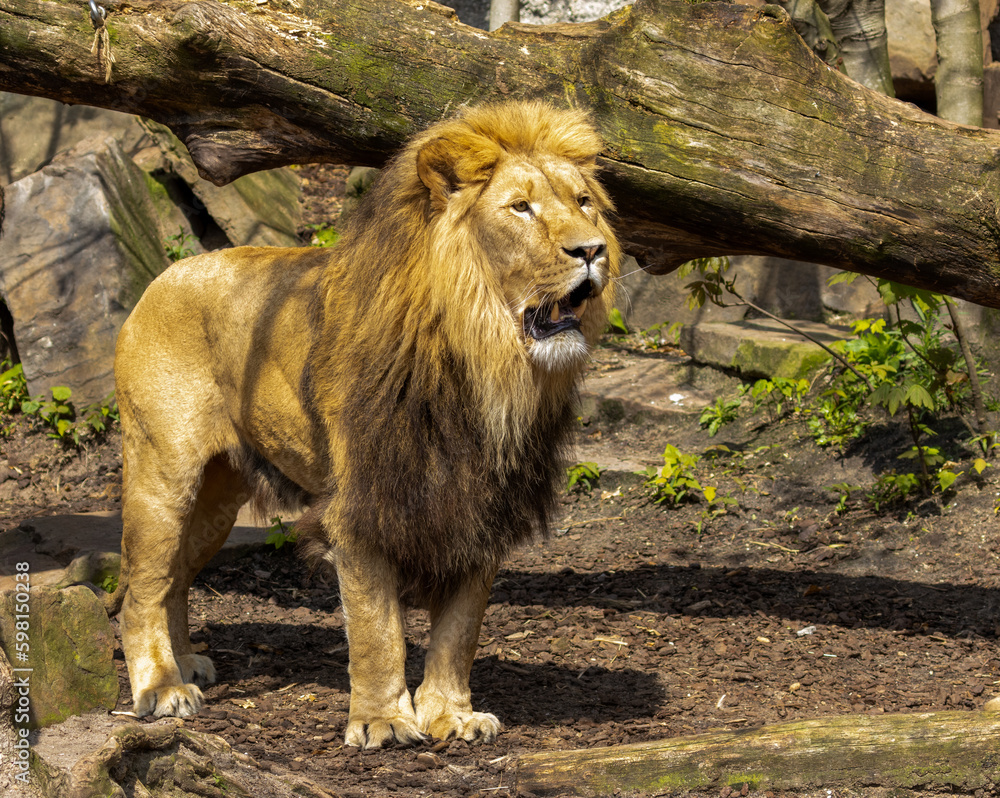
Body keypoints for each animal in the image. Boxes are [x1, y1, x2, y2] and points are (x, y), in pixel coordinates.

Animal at [107, 100, 620, 748]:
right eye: (520, 208)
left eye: (583, 202)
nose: (593, 250)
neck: (481, 361)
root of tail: (162, 276)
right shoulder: (362, 507)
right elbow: (378, 628)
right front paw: (383, 721)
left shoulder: (479, 504)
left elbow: (460, 630)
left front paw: (451, 715)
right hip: (163, 474)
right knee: (142, 591)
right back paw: (161, 688)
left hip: (218, 500)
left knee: (173, 580)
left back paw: (186, 663)